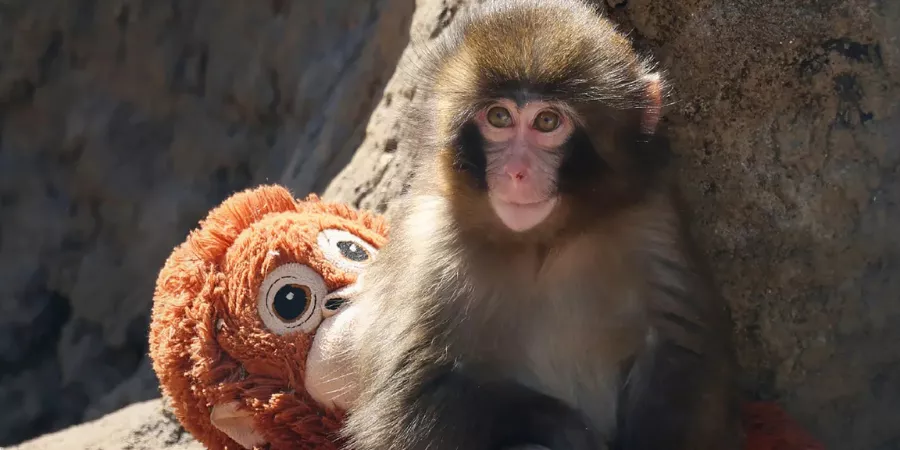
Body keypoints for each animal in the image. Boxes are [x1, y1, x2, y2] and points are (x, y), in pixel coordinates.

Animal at [340, 0, 742, 449]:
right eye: (499, 117)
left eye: (547, 122)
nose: (516, 171)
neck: (542, 243)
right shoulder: (429, 246)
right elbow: (407, 404)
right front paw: (564, 427)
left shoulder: (652, 221)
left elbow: (682, 356)